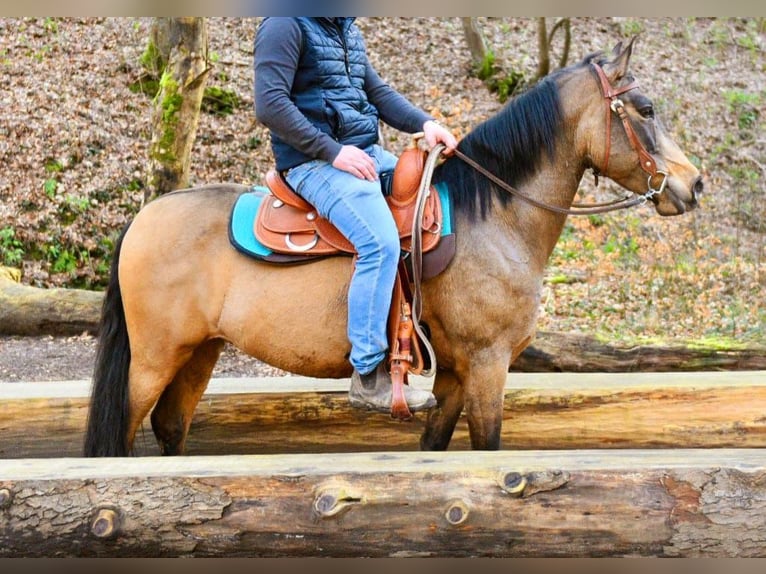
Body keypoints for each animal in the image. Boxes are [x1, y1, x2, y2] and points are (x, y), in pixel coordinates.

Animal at [84, 38, 702, 456]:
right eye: (646, 109)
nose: (692, 184)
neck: (495, 220)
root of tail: (143, 217)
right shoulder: (488, 365)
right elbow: (487, 450)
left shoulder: (454, 374)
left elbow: (434, 449)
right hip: (152, 359)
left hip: (199, 352)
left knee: (170, 427)